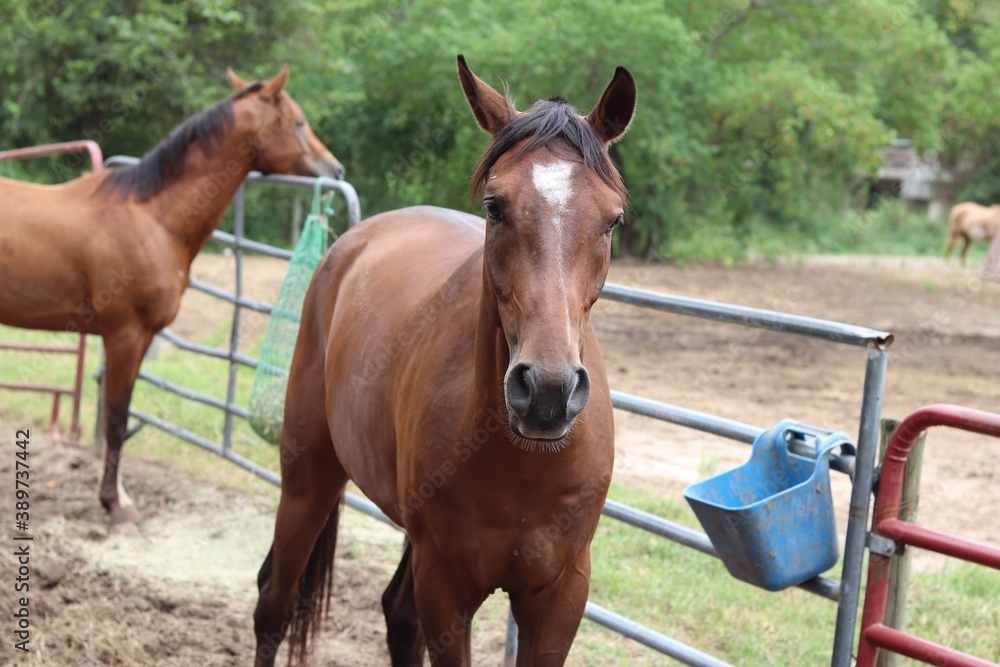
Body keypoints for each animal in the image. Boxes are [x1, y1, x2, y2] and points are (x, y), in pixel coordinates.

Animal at [0, 66, 344, 528]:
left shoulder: (141, 338)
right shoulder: (125, 336)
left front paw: (118, 496)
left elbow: (120, 420)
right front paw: (115, 505)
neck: (152, 218)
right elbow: (115, 422)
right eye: (300, 121)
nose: (336, 168)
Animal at [251, 55, 635, 667]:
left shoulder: (560, 595)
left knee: (397, 616)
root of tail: (351, 243)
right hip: (308, 477)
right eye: (495, 207)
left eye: (613, 219)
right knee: (274, 604)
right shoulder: (447, 587)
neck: (523, 463)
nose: (547, 391)